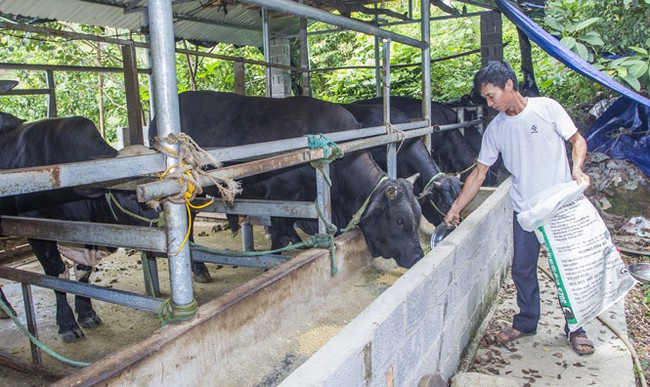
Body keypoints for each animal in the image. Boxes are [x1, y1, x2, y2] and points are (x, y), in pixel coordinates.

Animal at [0, 115, 160, 342]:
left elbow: (83, 272)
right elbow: (57, 275)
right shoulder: (35, 227)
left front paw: (86, 313)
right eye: (127, 193)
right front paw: (67, 323)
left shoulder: (84, 233)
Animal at [151, 91, 426, 270]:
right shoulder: (280, 199)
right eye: (400, 221)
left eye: (417, 214)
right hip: (191, 192)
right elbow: (279, 236)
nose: (418, 257)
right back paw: (198, 268)